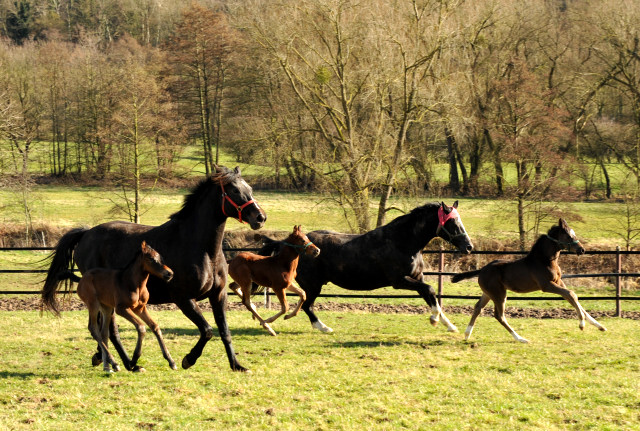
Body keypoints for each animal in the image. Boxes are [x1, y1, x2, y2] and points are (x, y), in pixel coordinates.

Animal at [76, 241, 176, 372]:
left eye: (161, 258)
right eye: (151, 259)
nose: (169, 273)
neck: (134, 284)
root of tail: (82, 279)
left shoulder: (140, 308)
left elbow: (155, 327)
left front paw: (171, 361)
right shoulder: (121, 308)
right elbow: (141, 327)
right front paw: (133, 362)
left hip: (107, 308)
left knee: (103, 333)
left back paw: (108, 366)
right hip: (93, 304)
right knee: (93, 329)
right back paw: (114, 363)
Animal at [450, 219, 604, 344]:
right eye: (568, 235)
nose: (581, 250)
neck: (545, 260)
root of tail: (482, 269)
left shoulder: (559, 282)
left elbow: (573, 298)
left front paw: (599, 325)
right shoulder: (546, 285)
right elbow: (571, 294)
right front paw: (582, 324)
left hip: (488, 293)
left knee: (478, 308)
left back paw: (467, 334)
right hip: (499, 295)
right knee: (499, 316)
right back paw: (520, 338)